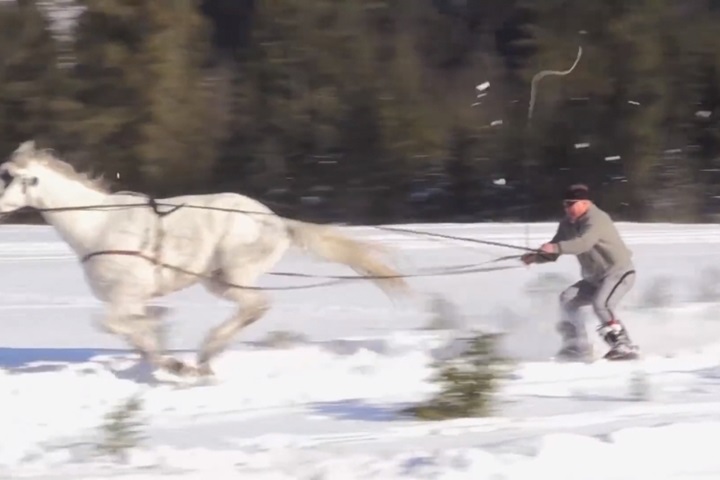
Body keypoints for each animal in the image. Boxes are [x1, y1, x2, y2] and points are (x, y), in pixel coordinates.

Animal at [0, 141, 408, 380]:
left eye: (8, 177)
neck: (98, 224)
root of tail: (276, 221)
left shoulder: (125, 296)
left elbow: (116, 326)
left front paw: (173, 359)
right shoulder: (130, 299)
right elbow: (136, 335)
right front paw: (167, 353)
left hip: (233, 275)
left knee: (257, 305)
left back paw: (205, 355)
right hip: (219, 280)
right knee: (254, 307)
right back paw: (204, 359)